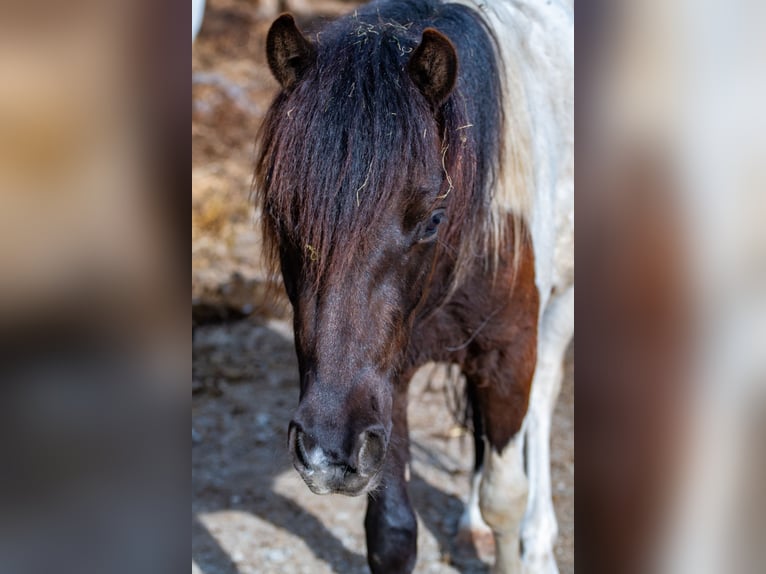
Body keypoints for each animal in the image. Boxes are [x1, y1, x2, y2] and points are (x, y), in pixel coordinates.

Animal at [258, 2, 576, 572]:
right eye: (281, 213)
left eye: (431, 219)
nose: (328, 453)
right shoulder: (389, 384)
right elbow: (392, 533)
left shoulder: (509, 355)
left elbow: (506, 498)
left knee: (542, 407)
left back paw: (540, 542)